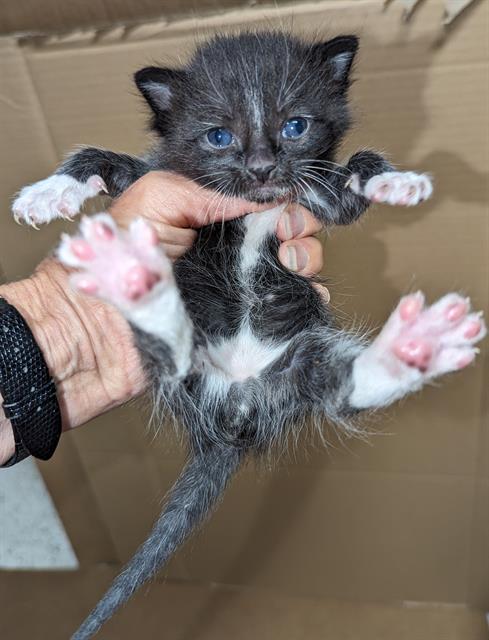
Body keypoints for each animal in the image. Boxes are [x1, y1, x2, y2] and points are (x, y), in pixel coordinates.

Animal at [11, 31, 484, 640]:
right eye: (219, 136)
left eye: (295, 126)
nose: (261, 167)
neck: (258, 206)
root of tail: (234, 406)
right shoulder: (162, 180)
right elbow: (105, 160)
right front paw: (48, 193)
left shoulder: (319, 200)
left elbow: (354, 178)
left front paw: (394, 178)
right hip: (179, 355)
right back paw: (127, 272)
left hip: (300, 361)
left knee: (341, 384)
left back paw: (415, 345)